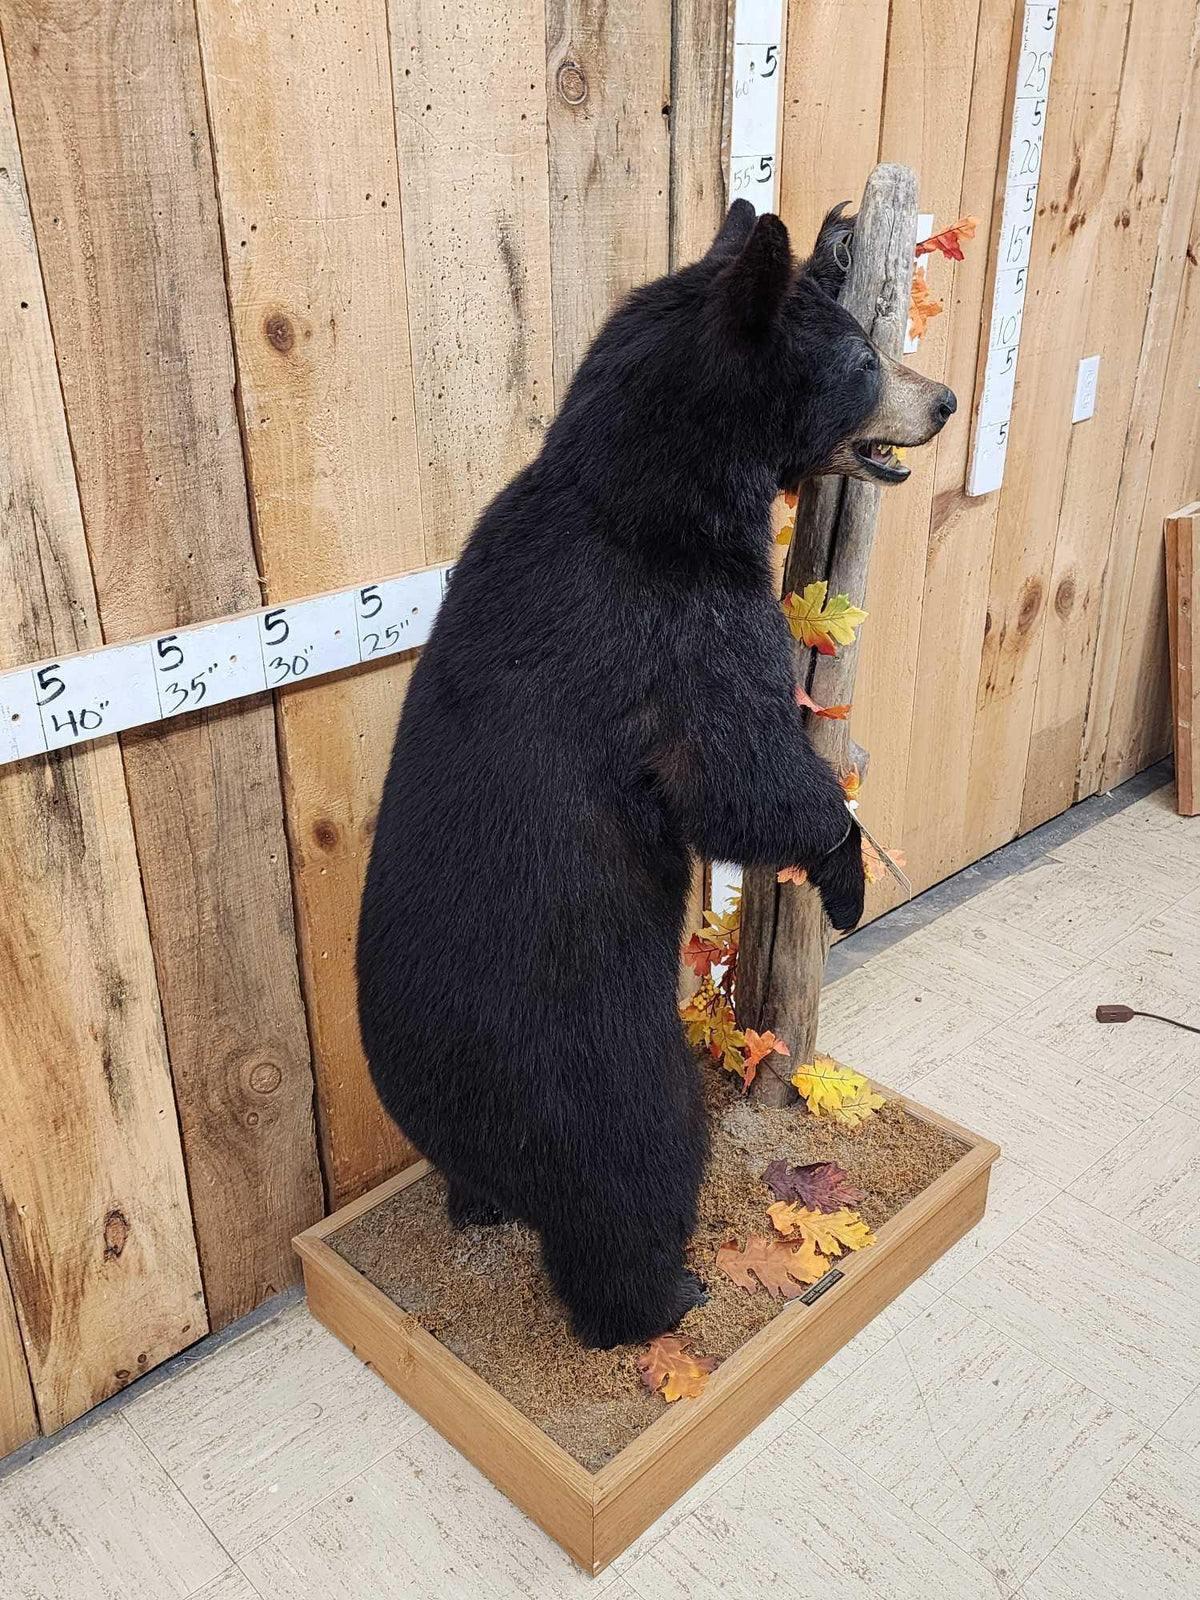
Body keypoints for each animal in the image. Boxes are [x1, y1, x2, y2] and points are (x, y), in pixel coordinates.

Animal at [357, 200, 955, 1349]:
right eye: (865, 361)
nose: (945, 400)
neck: (646, 494)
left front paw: (836, 232)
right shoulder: (681, 635)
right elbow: (741, 776)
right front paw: (847, 874)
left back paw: (478, 1207)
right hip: (609, 1086)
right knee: (636, 1188)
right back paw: (666, 1298)